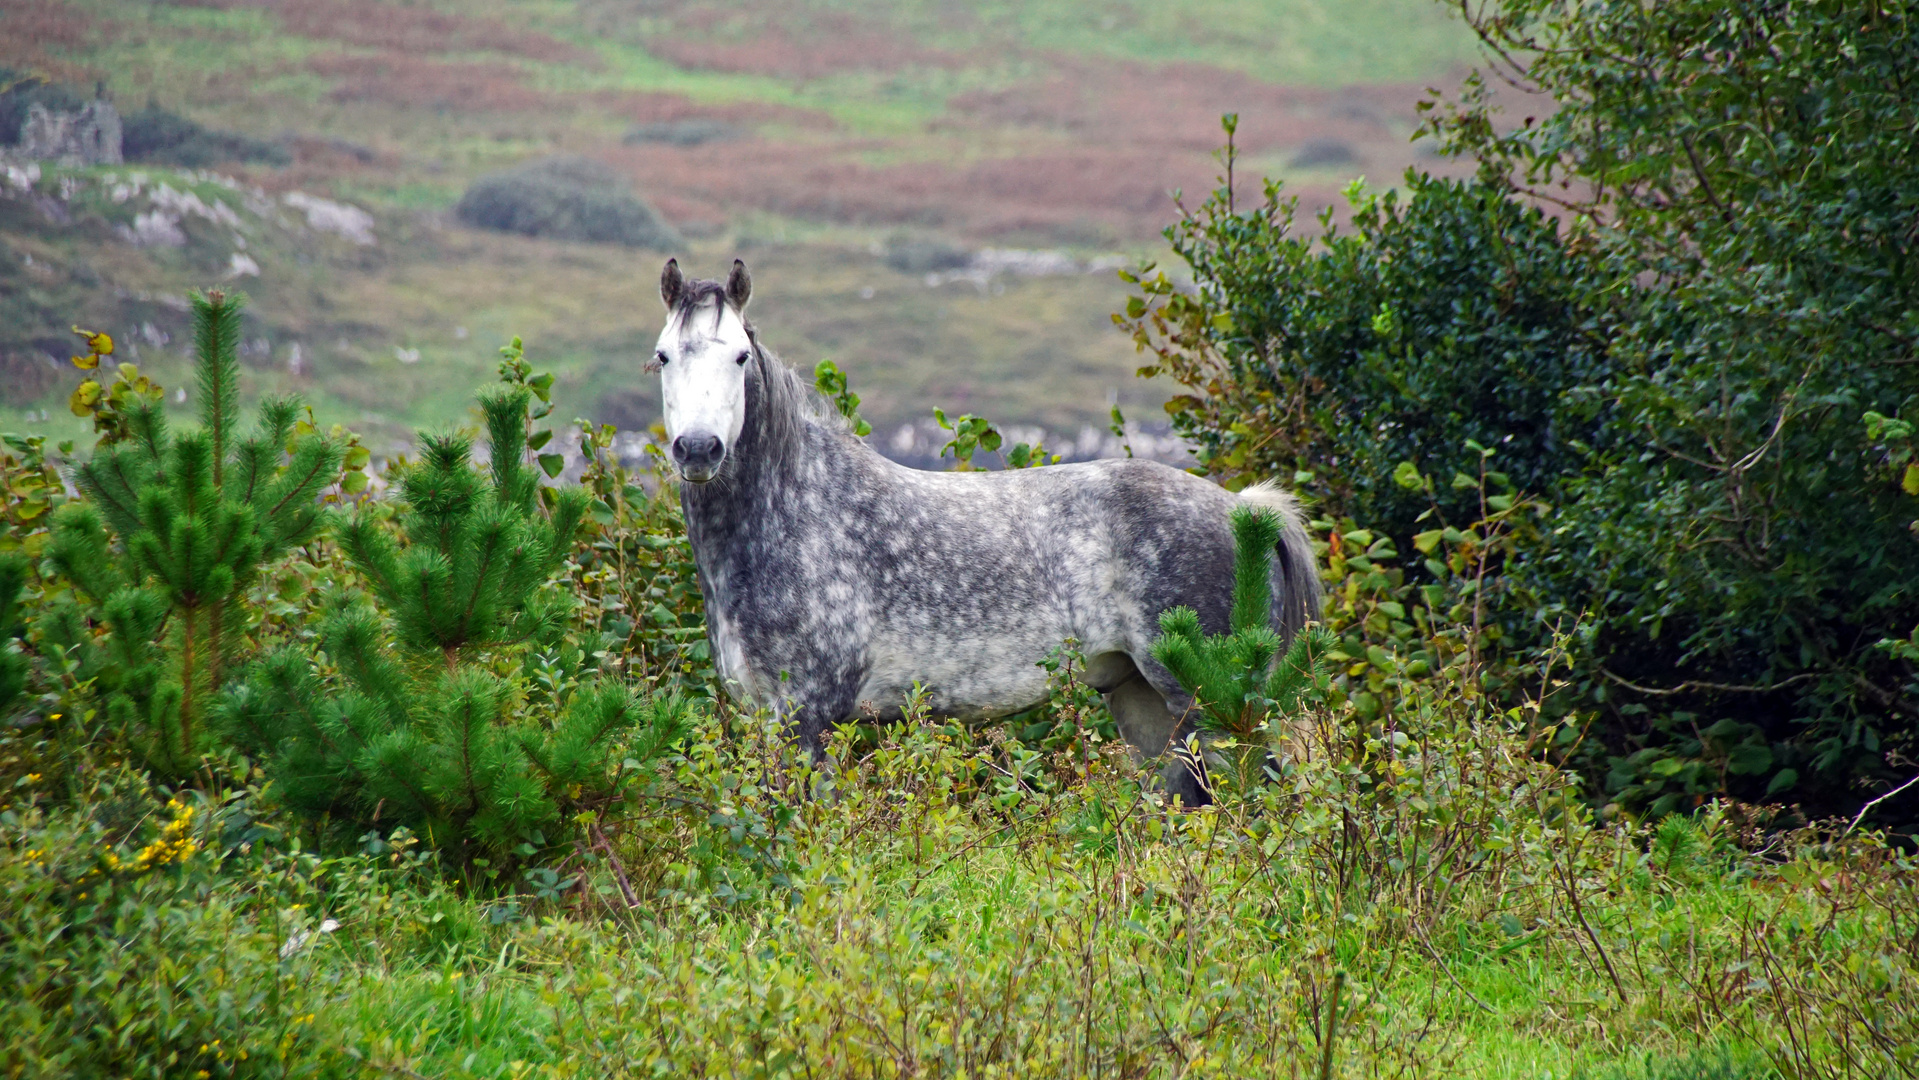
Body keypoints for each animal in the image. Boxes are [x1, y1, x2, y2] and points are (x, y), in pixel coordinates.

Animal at [644, 258, 1320, 801]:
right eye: (663, 356)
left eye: (738, 356)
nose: (699, 450)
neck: (797, 513)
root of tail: (1248, 511)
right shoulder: (768, 719)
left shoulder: (811, 718)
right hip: (1148, 705)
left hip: (1216, 706)